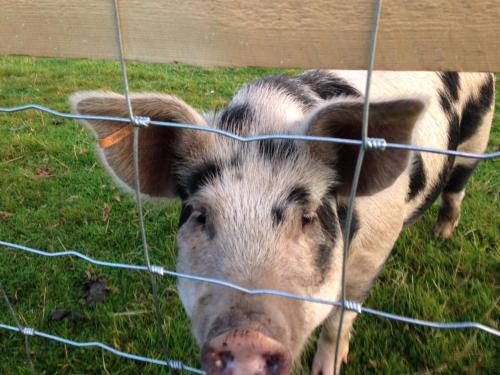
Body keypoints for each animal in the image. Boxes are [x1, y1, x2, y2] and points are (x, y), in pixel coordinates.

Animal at [68, 70, 494, 374]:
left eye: (307, 217)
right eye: (200, 215)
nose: (244, 339)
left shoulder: (372, 253)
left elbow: (340, 320)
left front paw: (326, 370)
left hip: (476, 140)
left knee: (456, 188)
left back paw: (442, 235)